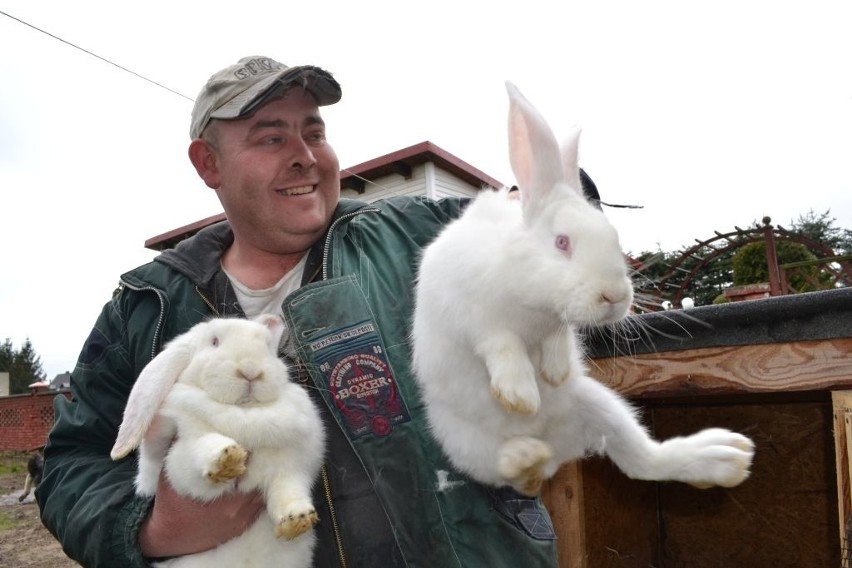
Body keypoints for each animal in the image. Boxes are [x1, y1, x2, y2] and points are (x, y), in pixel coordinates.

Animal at [111, 316, 324, 568]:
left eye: (267, 347)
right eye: (214, 341)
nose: (251, 370)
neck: (245, 413)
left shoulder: (290, 466)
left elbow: (288, 489)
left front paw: (297, 519)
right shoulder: (180, 459)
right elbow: (201, 449)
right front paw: (227, 459)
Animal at [412, 81, 752, 496]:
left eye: (613, 236)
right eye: (562, 242)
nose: (615, 297)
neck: (532, 302)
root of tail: (556, 450)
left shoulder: (554, 325)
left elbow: (558, 339)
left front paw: (555, 373)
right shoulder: (469, 313)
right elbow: (501, 343)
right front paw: (521, 394)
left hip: (600, 404)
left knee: (642, 461)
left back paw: (724, 458)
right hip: (465, 443)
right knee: (509, 473)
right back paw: (524, 454)